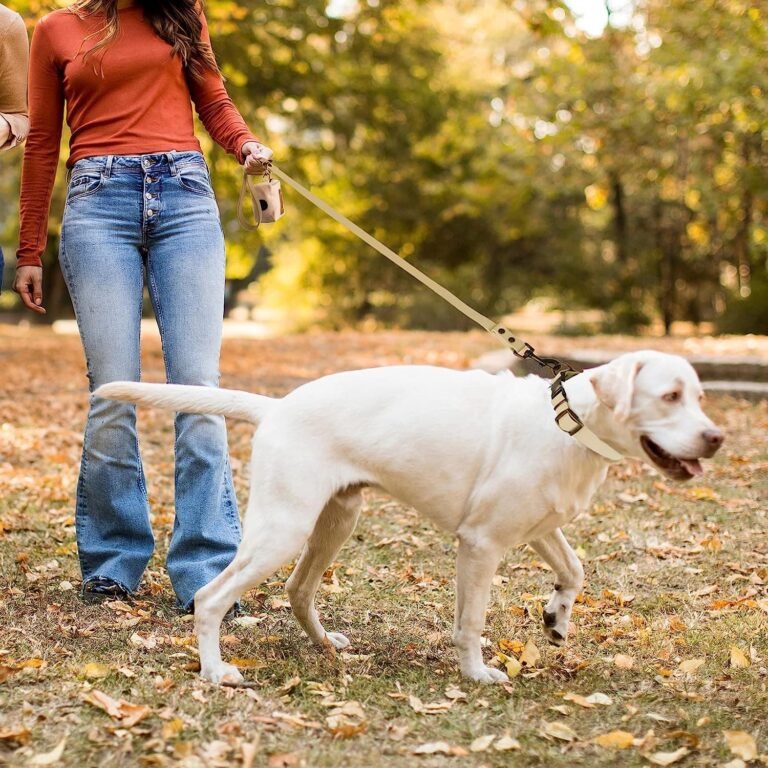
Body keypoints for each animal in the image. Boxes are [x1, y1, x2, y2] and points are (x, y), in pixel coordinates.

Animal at [93, 350, 724, 684]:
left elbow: (576, 569)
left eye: (698, 395)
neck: (570, 425)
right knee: (210, 598)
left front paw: (556, 619)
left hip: (334, 521)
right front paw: (476, 675)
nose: (716, 438)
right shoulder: (481, 544)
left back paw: (325, 645)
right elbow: (471, 622)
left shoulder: (539, 529)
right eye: (670, 396)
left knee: (298, 590)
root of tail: (277, 407)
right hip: (282, 530)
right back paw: (215, 671)